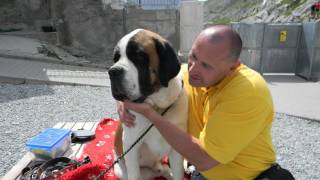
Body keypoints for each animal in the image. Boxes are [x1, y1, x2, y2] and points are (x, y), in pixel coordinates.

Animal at [107, 28, 188, 180]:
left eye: (138, 57)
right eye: (116, 59)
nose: (113, 71)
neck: (156, 108)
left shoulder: (177, 147)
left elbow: (178, 173)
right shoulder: (131, 146)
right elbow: (134, 174)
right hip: (123, 172)